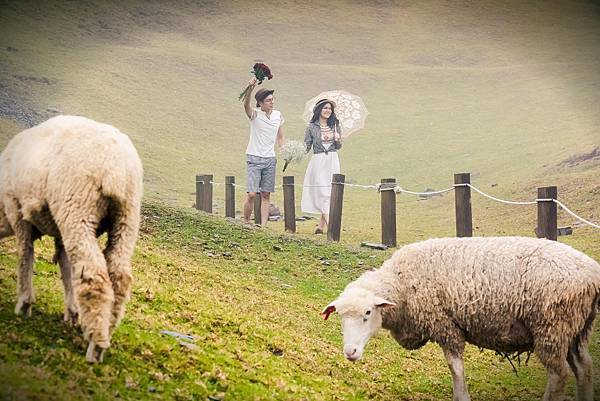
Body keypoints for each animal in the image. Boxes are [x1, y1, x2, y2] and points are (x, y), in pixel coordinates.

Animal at [0, 115, 143, 362]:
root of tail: (116, 167)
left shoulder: (16, 211)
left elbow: (25, 256)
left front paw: (25, 304)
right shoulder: (60, 232)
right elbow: (67, 267)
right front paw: (72, 311)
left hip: (77, 210)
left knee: (94, 274)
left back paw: (95, 346)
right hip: (126, 219)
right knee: (119, 277)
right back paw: (106, 332)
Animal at [324, 236, 600, 398]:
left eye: (368, 313)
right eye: (340, 317)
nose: (350, 352)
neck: (401, 283)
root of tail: (592, 273)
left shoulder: (446, 326)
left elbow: (455, 368)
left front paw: (461, 395)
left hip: (552, 327)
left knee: (560, 374)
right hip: (577, 329)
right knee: (584, 367)